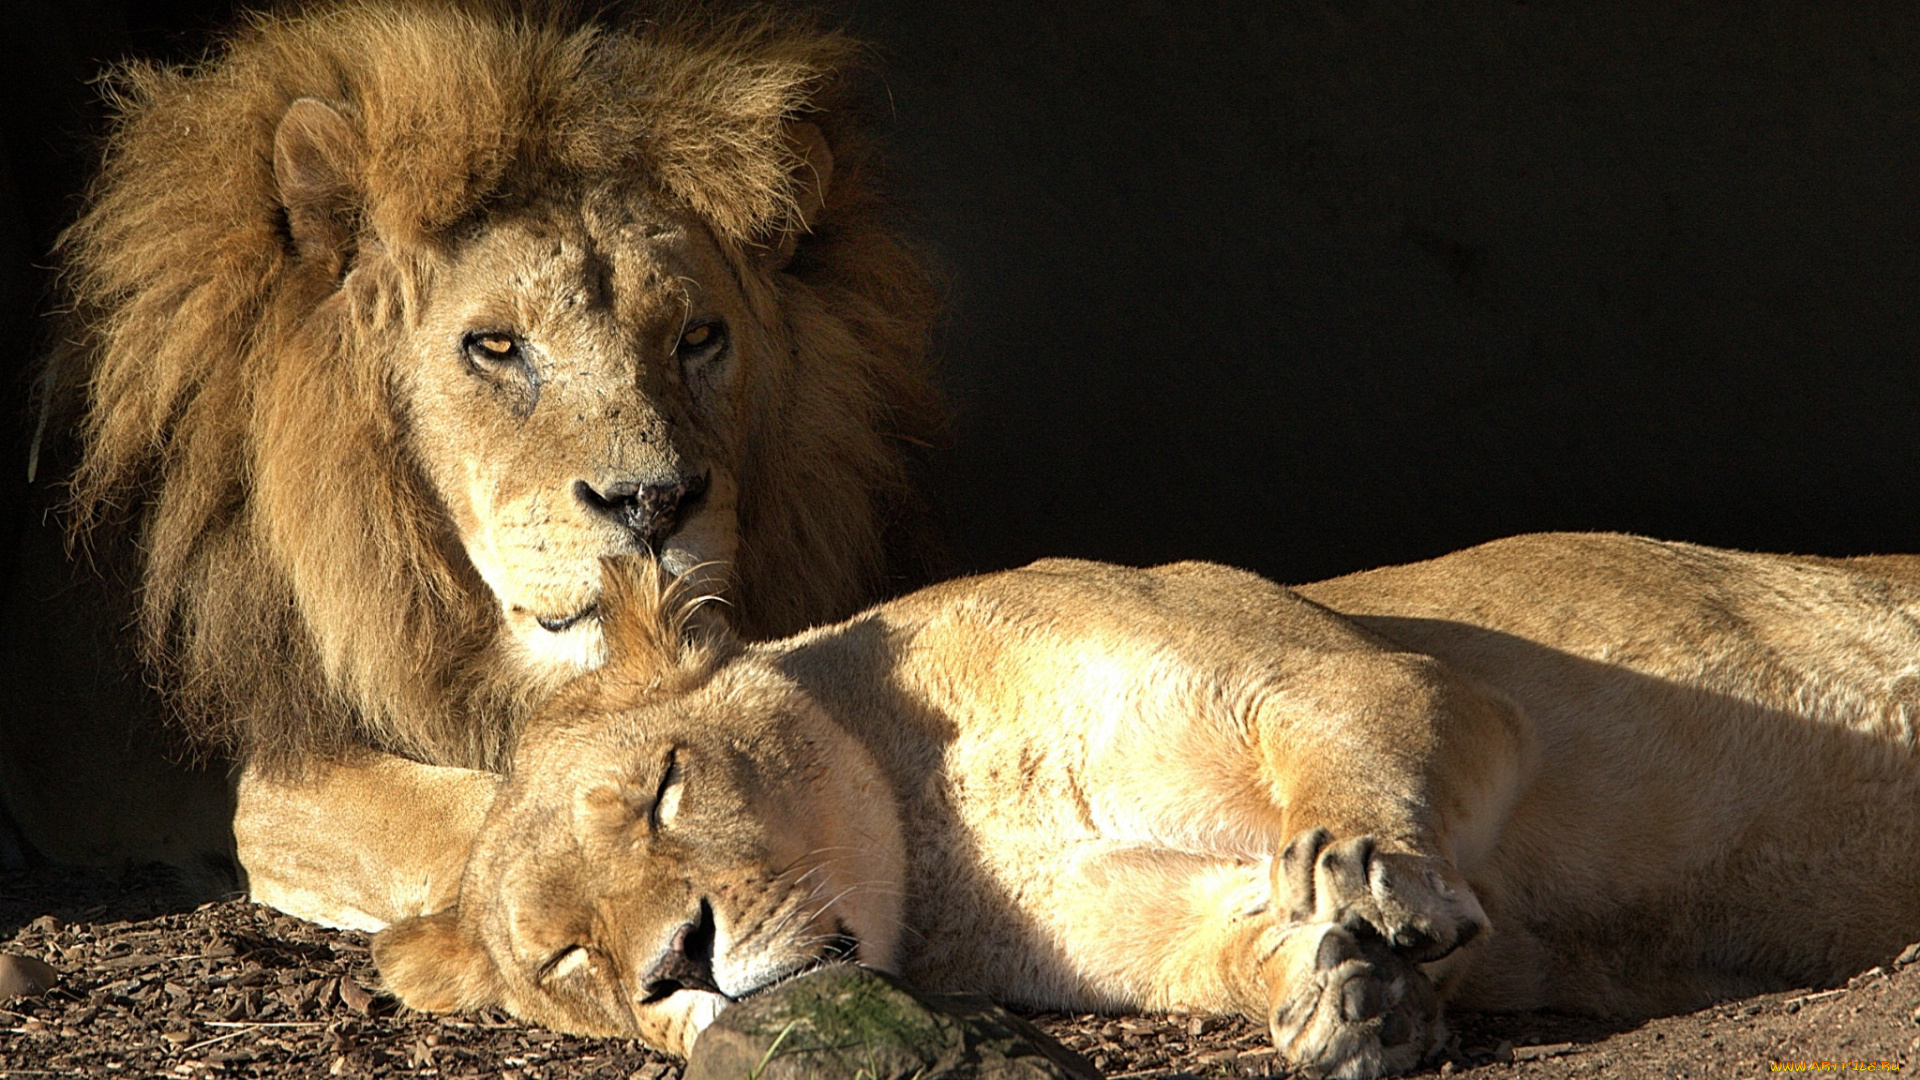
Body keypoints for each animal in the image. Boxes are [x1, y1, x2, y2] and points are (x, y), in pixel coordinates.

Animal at [374, 534, 1920, 1068]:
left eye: (662, 790)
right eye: (568, 961)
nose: (674, 964)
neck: (941, 823)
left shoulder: (1365, 671)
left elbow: (1353, 768)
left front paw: (1368, 878)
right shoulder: (1132, 923)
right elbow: (1238, 942)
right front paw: (1342, 1002)